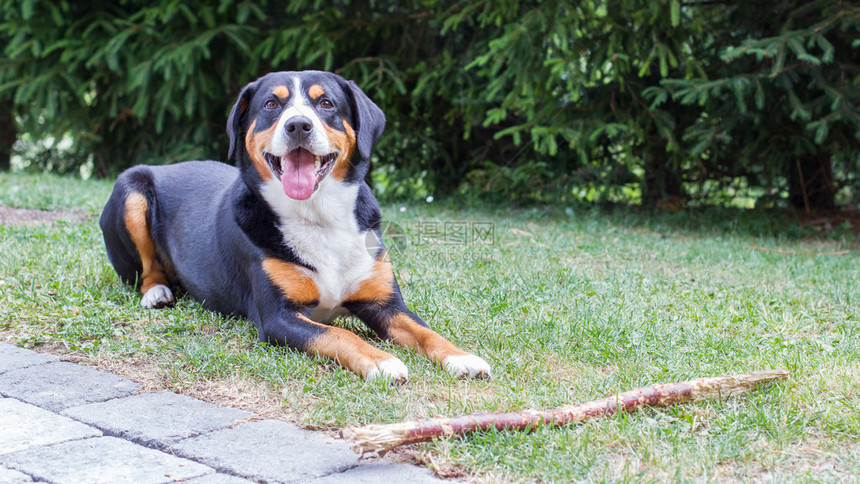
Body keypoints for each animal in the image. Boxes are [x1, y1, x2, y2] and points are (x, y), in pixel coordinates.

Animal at [99, 71, 490, 382]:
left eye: (326, 103)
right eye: (271, 104)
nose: (298, 125)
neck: (318, 216)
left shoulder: (384, 303)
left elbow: (424, 331)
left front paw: (462, 357)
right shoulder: (278, 317)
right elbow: (339, 335)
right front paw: (382, 362)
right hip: (131, 189)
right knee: (147, 270)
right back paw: (157, 292)